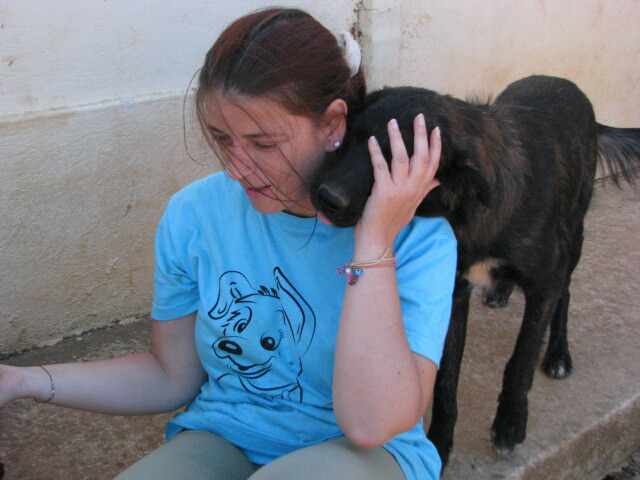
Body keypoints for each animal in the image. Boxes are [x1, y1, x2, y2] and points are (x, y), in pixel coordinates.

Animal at [309, 75, 640, 467]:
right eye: (349, 137)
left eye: (394, 164)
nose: (326, 197)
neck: (467, 209)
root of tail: (569, 86)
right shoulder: (455, 293)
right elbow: (446, 381)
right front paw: (439, 442)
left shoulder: (545, 282)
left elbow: (522, 359)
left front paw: (509, 424)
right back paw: (501, 291)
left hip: (573, 237)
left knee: (566, 293)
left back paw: (558, 353)